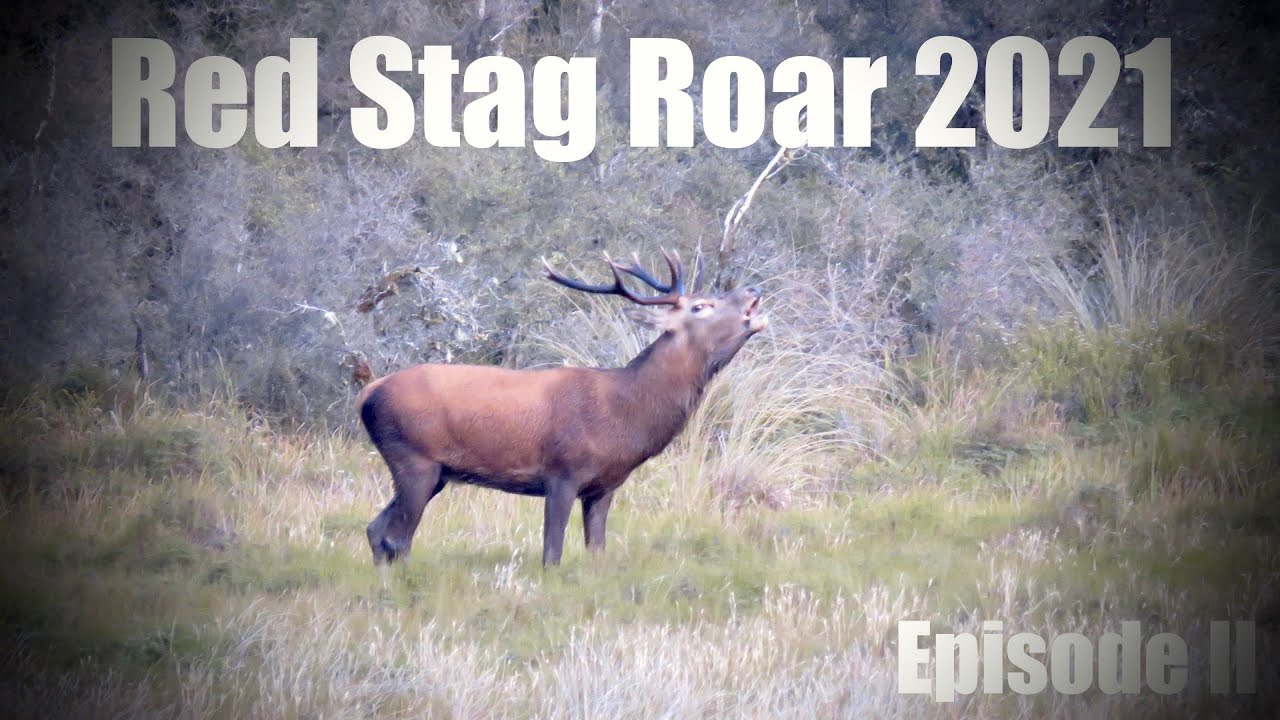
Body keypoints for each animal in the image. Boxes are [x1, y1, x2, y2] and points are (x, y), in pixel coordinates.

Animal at [358, 249, 768, 567]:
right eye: (701, 306)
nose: (752, 288)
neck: (623, 414)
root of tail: (367, 393)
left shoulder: (604, 486)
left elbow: (597, 551)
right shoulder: (562, 472)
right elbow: (551, 554)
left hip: (437, 473)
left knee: (376, 529)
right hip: (414, 459)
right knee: (397, 537)